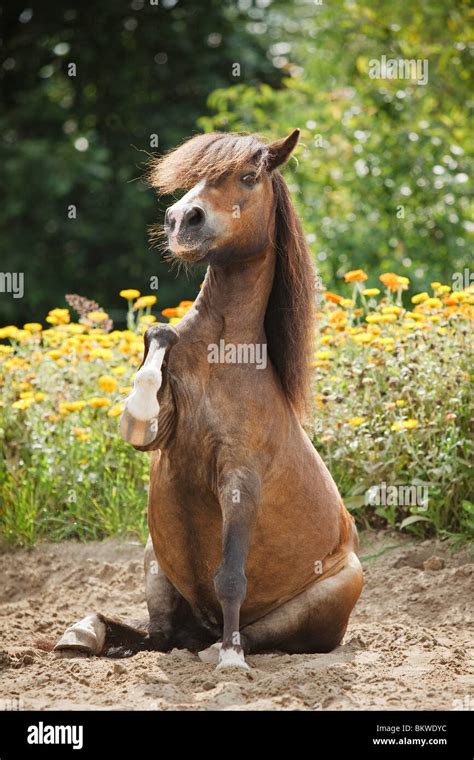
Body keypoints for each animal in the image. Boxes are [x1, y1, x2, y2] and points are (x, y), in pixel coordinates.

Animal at [57, 131, 364, 672]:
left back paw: (218, 649)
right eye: (196, 176)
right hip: (155, 564)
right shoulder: (156, 434)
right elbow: (153, 353)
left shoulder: (240, 482)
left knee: (252, 632)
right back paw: (85, 632)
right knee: (158, 634)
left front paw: (231, 663)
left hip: (327, 597)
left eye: (249, 176)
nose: (183, 219)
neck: (220, 355)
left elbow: (230, 576)